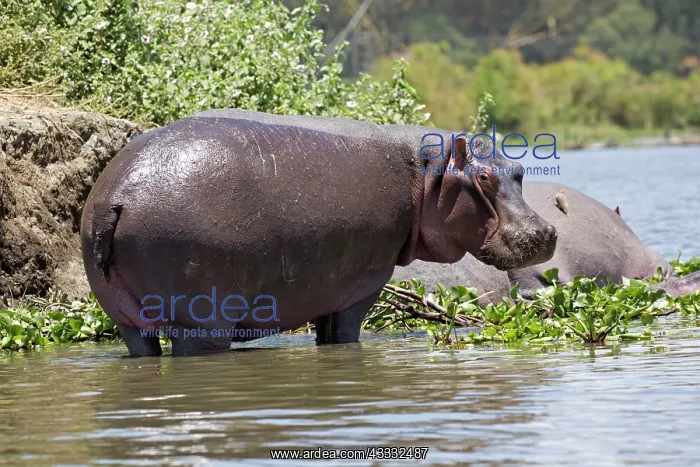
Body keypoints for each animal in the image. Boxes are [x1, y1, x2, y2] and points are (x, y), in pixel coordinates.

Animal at [80, 109, 557, 357]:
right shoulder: (361, 285)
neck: (427, 175)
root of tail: (115, 197)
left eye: (518, 170)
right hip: (199, 319)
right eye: (483, 179)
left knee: (140, 348)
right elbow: (345, 334)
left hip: (124, 317)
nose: (547, 232)